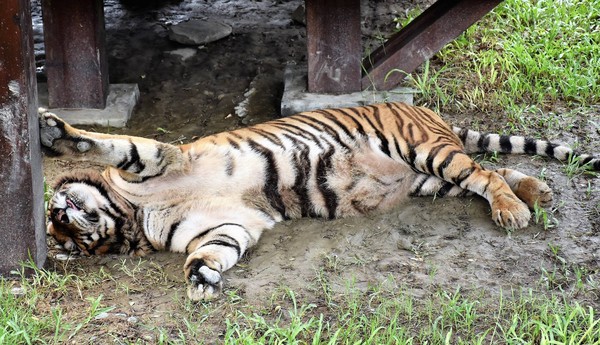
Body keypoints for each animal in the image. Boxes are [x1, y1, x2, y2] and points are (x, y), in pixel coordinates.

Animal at [38, 101, 600, 298]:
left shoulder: (160, 157)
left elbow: (108, 143)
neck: (135, 216)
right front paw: (202, 278)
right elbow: (213, 251)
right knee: (488, 171)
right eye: (65, 244)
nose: (62, 215)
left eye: (54, 215)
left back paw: (515, 210)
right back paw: (536, 191)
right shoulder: (228, 225)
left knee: (484, 173)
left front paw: (53, 133)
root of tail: (428, 110)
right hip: (429, 178)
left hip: (424, 151)